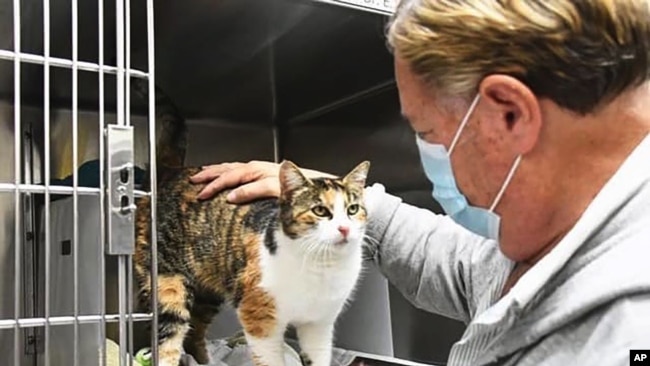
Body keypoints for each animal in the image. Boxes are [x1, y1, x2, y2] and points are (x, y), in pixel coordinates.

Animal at [132, 81, 368, 366]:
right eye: (320, 210)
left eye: (353, 209)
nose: (344, 229)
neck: (323, 267)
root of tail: (170, 172)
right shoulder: (259, 317)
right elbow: (270, 359)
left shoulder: (319, 325)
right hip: (167, 283)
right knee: (168, 337)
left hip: (209, 289)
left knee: (195, 331)